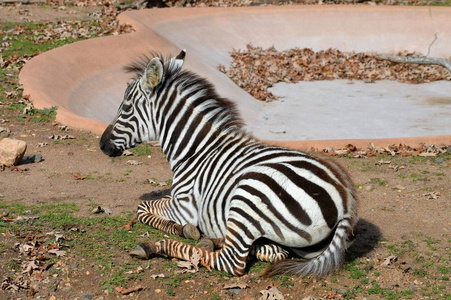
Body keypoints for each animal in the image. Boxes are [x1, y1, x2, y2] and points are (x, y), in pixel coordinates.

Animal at [100, 49, 358, 276]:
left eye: (125, 108)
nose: (102, 144)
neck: (196, 150)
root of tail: (344, 200)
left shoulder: (183, 206)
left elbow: (142, 208)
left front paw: (182, 229)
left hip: (248, 194)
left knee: (230, 262)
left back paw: (156, 246)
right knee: (273, 251)